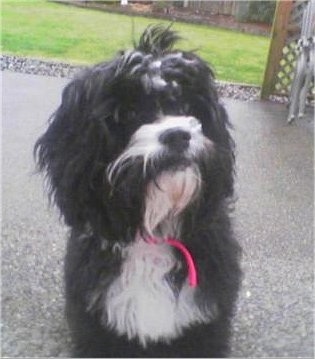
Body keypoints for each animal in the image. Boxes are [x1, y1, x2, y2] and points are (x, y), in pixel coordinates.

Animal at [34, 24, 242, 358]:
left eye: (184, 106)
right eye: (129, 114)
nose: (178, 135)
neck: (153, 231)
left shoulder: (204, 328)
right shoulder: (98, 329)